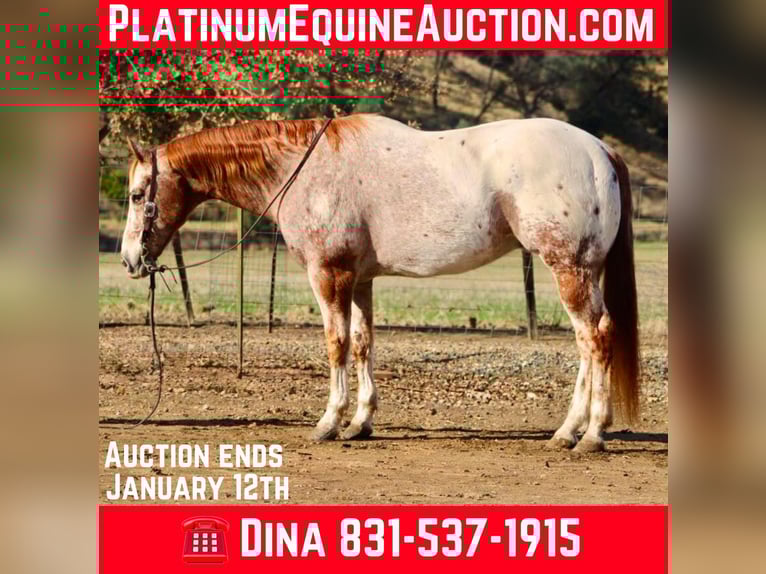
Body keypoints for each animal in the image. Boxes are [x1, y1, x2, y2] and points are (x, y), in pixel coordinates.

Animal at [120, 114, 639, 453]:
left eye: (137, 194)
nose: (129, 260)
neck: (302, 168)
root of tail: (600, 151)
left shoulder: (329, 275)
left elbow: (336, 344)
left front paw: (330, 421)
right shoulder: (360, 279)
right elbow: (363, 343)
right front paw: (360, 422)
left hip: (568, 268)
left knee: (595, 338)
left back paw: (592, 434)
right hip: (582, 271)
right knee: (587, 343)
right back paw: (568, 431)